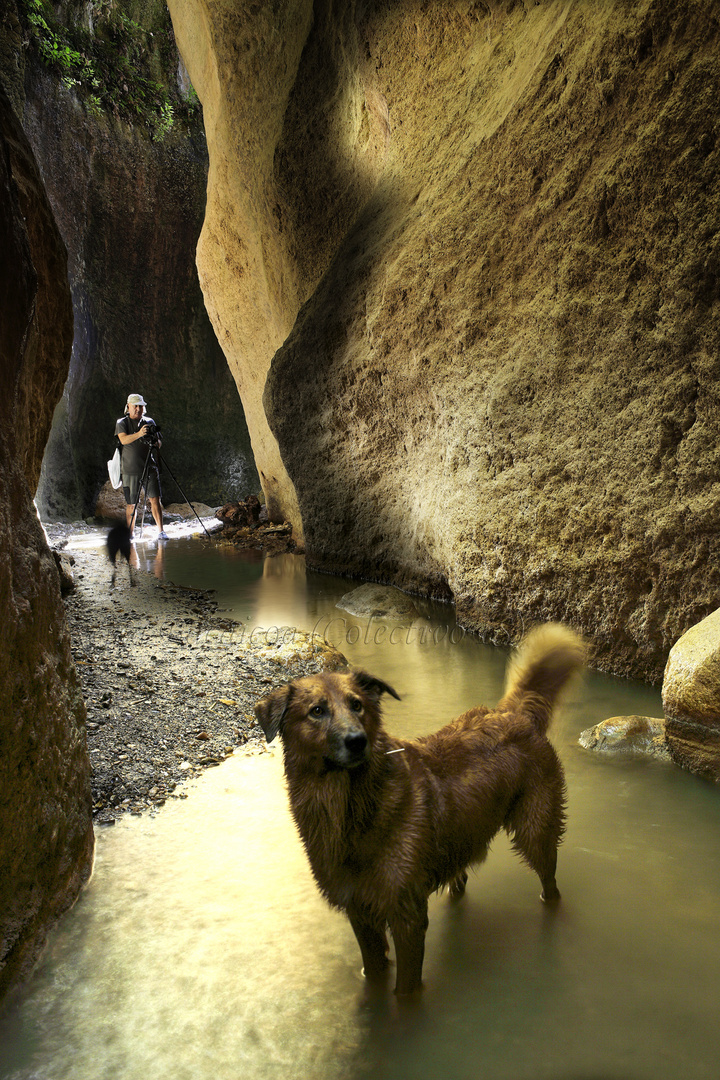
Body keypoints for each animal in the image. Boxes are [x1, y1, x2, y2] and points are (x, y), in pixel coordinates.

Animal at [254, 626, 587, 993]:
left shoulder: (407, 916)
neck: (349, 808)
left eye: (357, 705)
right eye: (316, 711)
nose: (357, 741)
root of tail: (514, 712)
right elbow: (373, 970)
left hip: (536, 832)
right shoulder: (360, 912)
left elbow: (405, 991)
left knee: (550, 882)